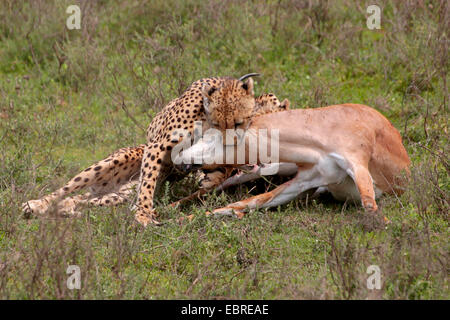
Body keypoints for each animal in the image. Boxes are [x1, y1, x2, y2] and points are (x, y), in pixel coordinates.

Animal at [22, 75, 286, 225]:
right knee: (66, 190)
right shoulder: (157, 146)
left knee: (82, 201)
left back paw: (66, 209)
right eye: (221, 123)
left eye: (239, 123)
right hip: (117, 162)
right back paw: (34, 205)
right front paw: (143, 217)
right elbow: (148, 185)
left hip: (118, 194)